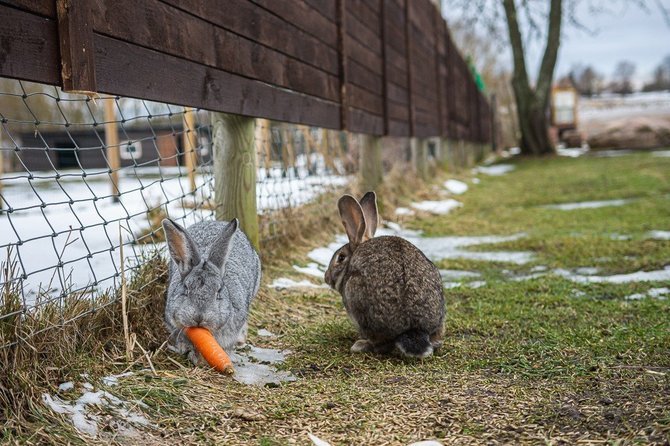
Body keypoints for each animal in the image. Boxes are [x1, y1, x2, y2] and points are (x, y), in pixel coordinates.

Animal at [326, 192, 446, 358]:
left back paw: (360, 345)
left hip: (355, 295)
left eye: (341, 257)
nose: (326, 278)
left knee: (382, 345)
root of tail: (412, 329)